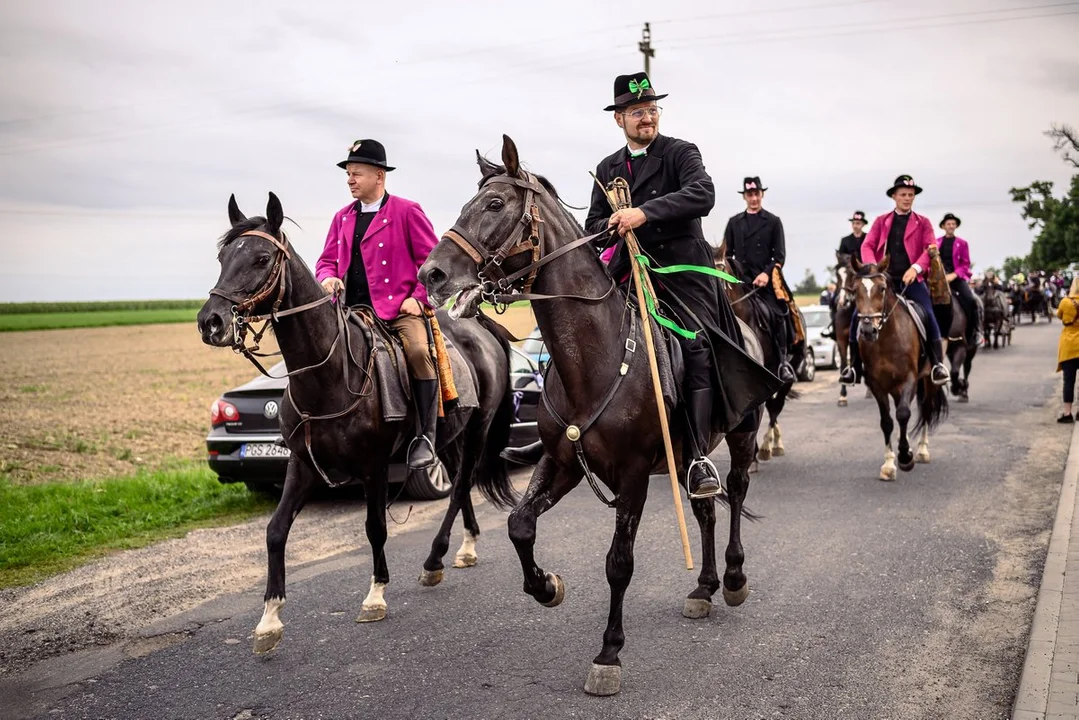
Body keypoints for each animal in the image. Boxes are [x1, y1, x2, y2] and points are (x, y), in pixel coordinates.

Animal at [198, 194, 517, 656]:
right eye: (223, 257)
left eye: (260, 258)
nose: (211, 321)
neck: (327, 374)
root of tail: (481, 328)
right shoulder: (302, 465)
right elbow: (275, 531)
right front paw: (269, 620)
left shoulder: (374, 466)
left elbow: (375, 528)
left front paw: (375, 595)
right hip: (449, 437)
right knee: (460, 483)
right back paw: (462, 549)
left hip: (478, 429)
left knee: (460, 488)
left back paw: (435, 557)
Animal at [416, 136, 781, 699]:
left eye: (494, 204)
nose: (431, 274)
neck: (592, 357)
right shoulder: (561, 462)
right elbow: (520, 526)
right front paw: (546, 586)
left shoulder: (632, 475)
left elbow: (618, 563)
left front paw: (609, 653)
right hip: (686, 454)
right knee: (704, 507)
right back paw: (703, 587)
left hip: (741, 430)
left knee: (737, 491)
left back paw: (735, 578)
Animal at [850, 255, 945, 481]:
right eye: (854, 290)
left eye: (882, 288)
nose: (868, 330)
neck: (885, 338)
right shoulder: (876, 384)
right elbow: (887, 421)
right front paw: (889, 464)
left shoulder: (908, 379)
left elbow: (903, 414)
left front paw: (905, 457)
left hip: (927, 381)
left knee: (925, 410)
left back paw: (921, 451)